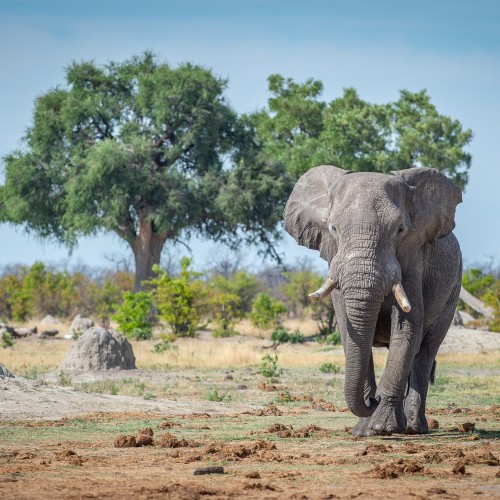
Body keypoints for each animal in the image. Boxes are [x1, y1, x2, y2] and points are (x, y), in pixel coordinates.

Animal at [284, 166, 462, 436]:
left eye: (400, 230)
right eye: (333, 228)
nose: (373, 400)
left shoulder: (414, 257)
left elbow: (407, 326)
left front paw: (383, 427)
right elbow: (350, 332)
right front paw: (363, 431)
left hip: (453, 289)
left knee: (425, 352)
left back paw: (413, 427)